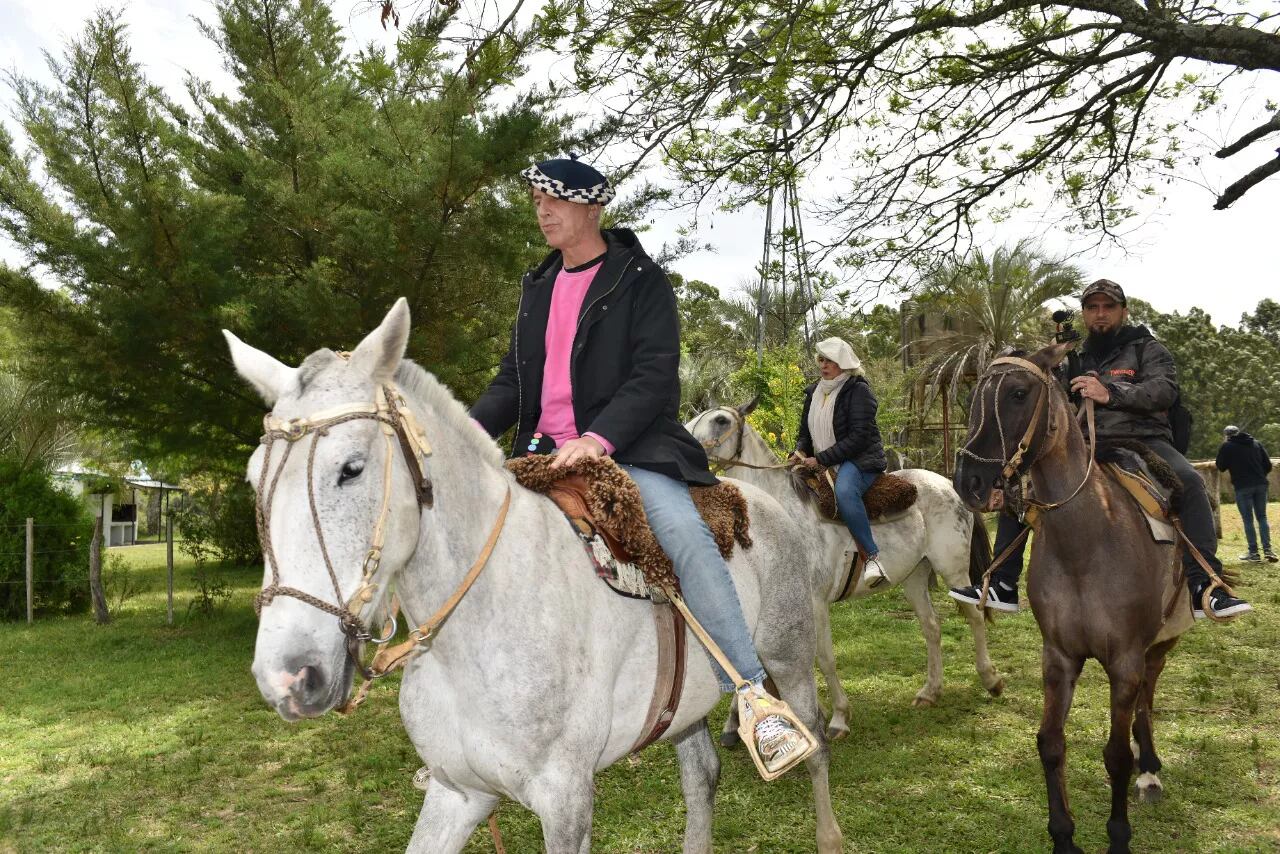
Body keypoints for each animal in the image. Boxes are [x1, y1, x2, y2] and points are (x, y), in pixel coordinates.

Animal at [230, 302, 844, 854]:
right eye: (254, 477)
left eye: (352, 468)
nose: (288, 676)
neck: (475, 633)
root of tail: (764, 501)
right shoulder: (458, 793)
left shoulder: (565, 801)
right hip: (686, 710)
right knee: (701, 775)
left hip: (788, 656)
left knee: (812, 741)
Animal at [686, 404, 1003, 737]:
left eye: (721, 420)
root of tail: (948, 485)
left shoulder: (815, 604)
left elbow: (823, 658)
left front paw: (838, 716)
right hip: (914, 576)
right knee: (931, 626)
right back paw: (930, 692)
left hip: (953, 570)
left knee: (974, 616)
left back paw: (991, 680)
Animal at [957, 343, 1192, 854]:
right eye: (973, 396)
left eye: (1019, 393)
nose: (969, 481)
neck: (1087, 543)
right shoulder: (1059, 656)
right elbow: (1050, 743)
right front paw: (1063, 836)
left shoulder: (1123, 660)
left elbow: (1117, 755)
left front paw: (1119, 836)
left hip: (1163, 639)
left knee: (1148, 693)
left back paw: (1149, 769)